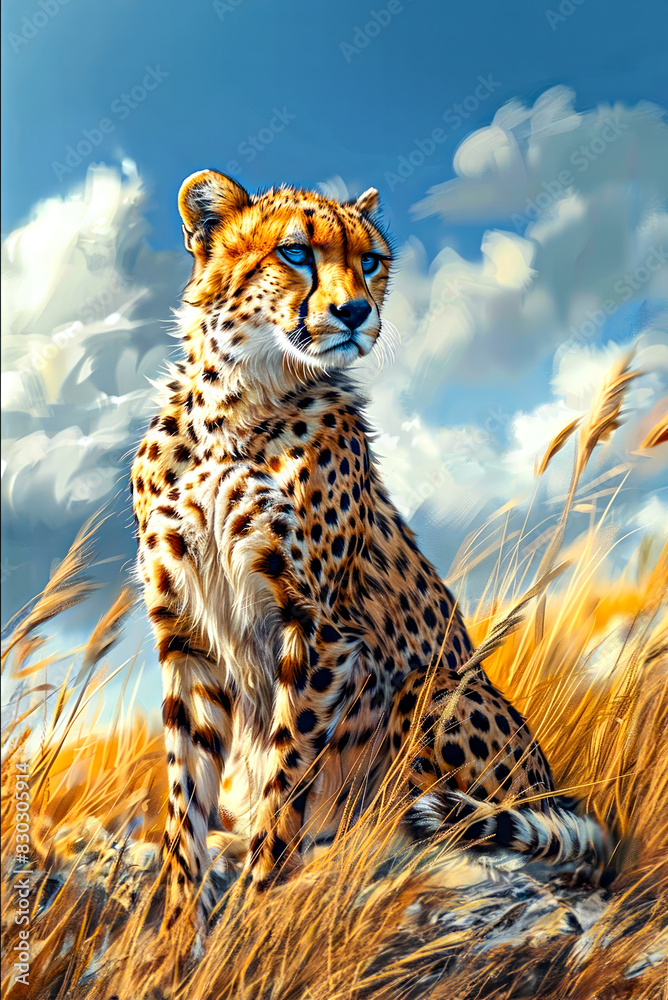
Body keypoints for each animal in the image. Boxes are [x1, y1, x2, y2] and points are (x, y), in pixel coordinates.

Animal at [131, 170, 609, 927]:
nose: (356, 312)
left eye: (372, 261)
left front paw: (257, 908)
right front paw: (178, 928)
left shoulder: (320, 629)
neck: (240, 401)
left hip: (429, 689)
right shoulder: (185, 634)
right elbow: (185, 796)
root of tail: (551, 790)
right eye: (295, 252)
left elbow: (287, 780)